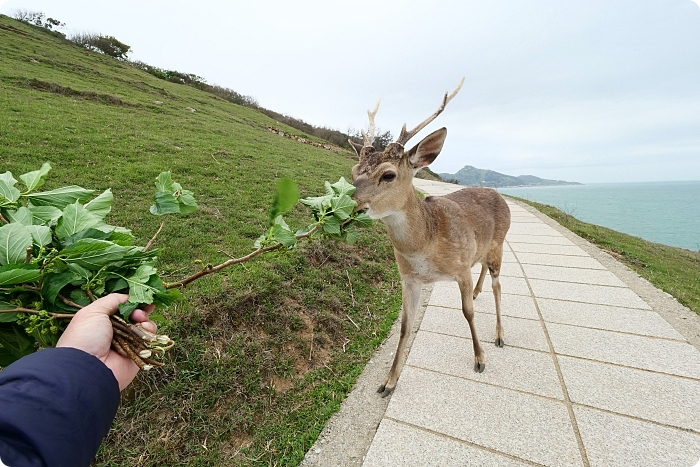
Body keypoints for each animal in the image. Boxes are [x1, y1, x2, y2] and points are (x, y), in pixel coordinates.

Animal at [349, 79, 511, 397]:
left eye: (388, 175)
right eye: (353, 172)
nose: (353, 206)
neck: (425, 248)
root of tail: (500, 195)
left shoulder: (460, 267)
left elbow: (468, 313)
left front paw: (480, 359)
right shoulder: (409, 277)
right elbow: (405, 326)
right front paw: (388, 381)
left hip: (500, 243)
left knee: (499, 285)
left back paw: (499, 335)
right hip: (483, 248)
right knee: (483, 267)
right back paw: (479, 292)